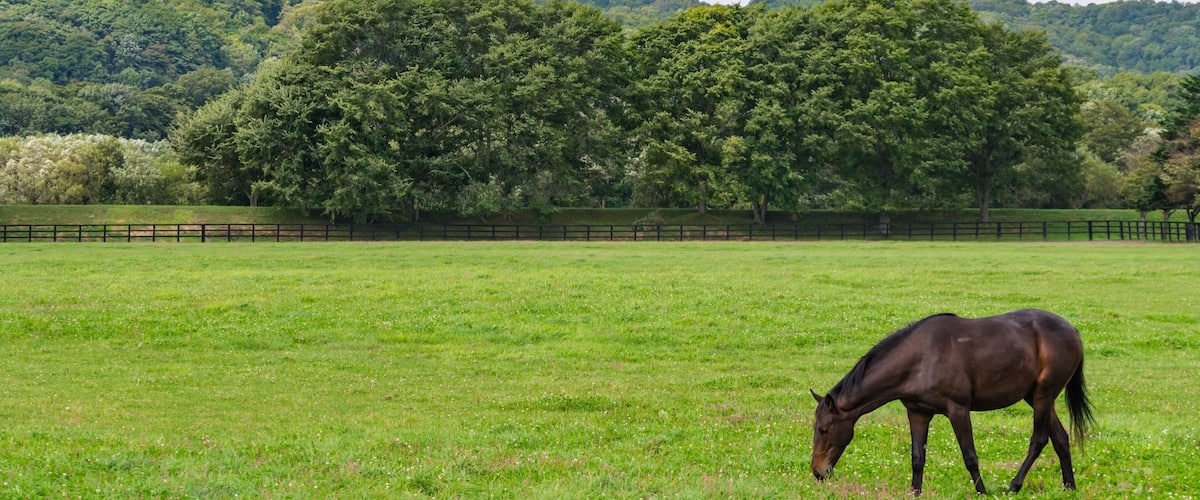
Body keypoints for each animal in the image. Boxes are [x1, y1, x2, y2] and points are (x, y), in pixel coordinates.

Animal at [809, 309, 1094, 496]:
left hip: (1044, 395)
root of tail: (1073, 331)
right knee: (1060, 438)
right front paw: (915, 491)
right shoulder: (917, 413)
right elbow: (917, 457)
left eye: (824, 429)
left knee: (1039, 440)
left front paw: (982, 492)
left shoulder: (958, 410)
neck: (921, 359)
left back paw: (1014, 485)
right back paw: (1069, 486)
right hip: (1035, 397)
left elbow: (970, 456)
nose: (818, 472)